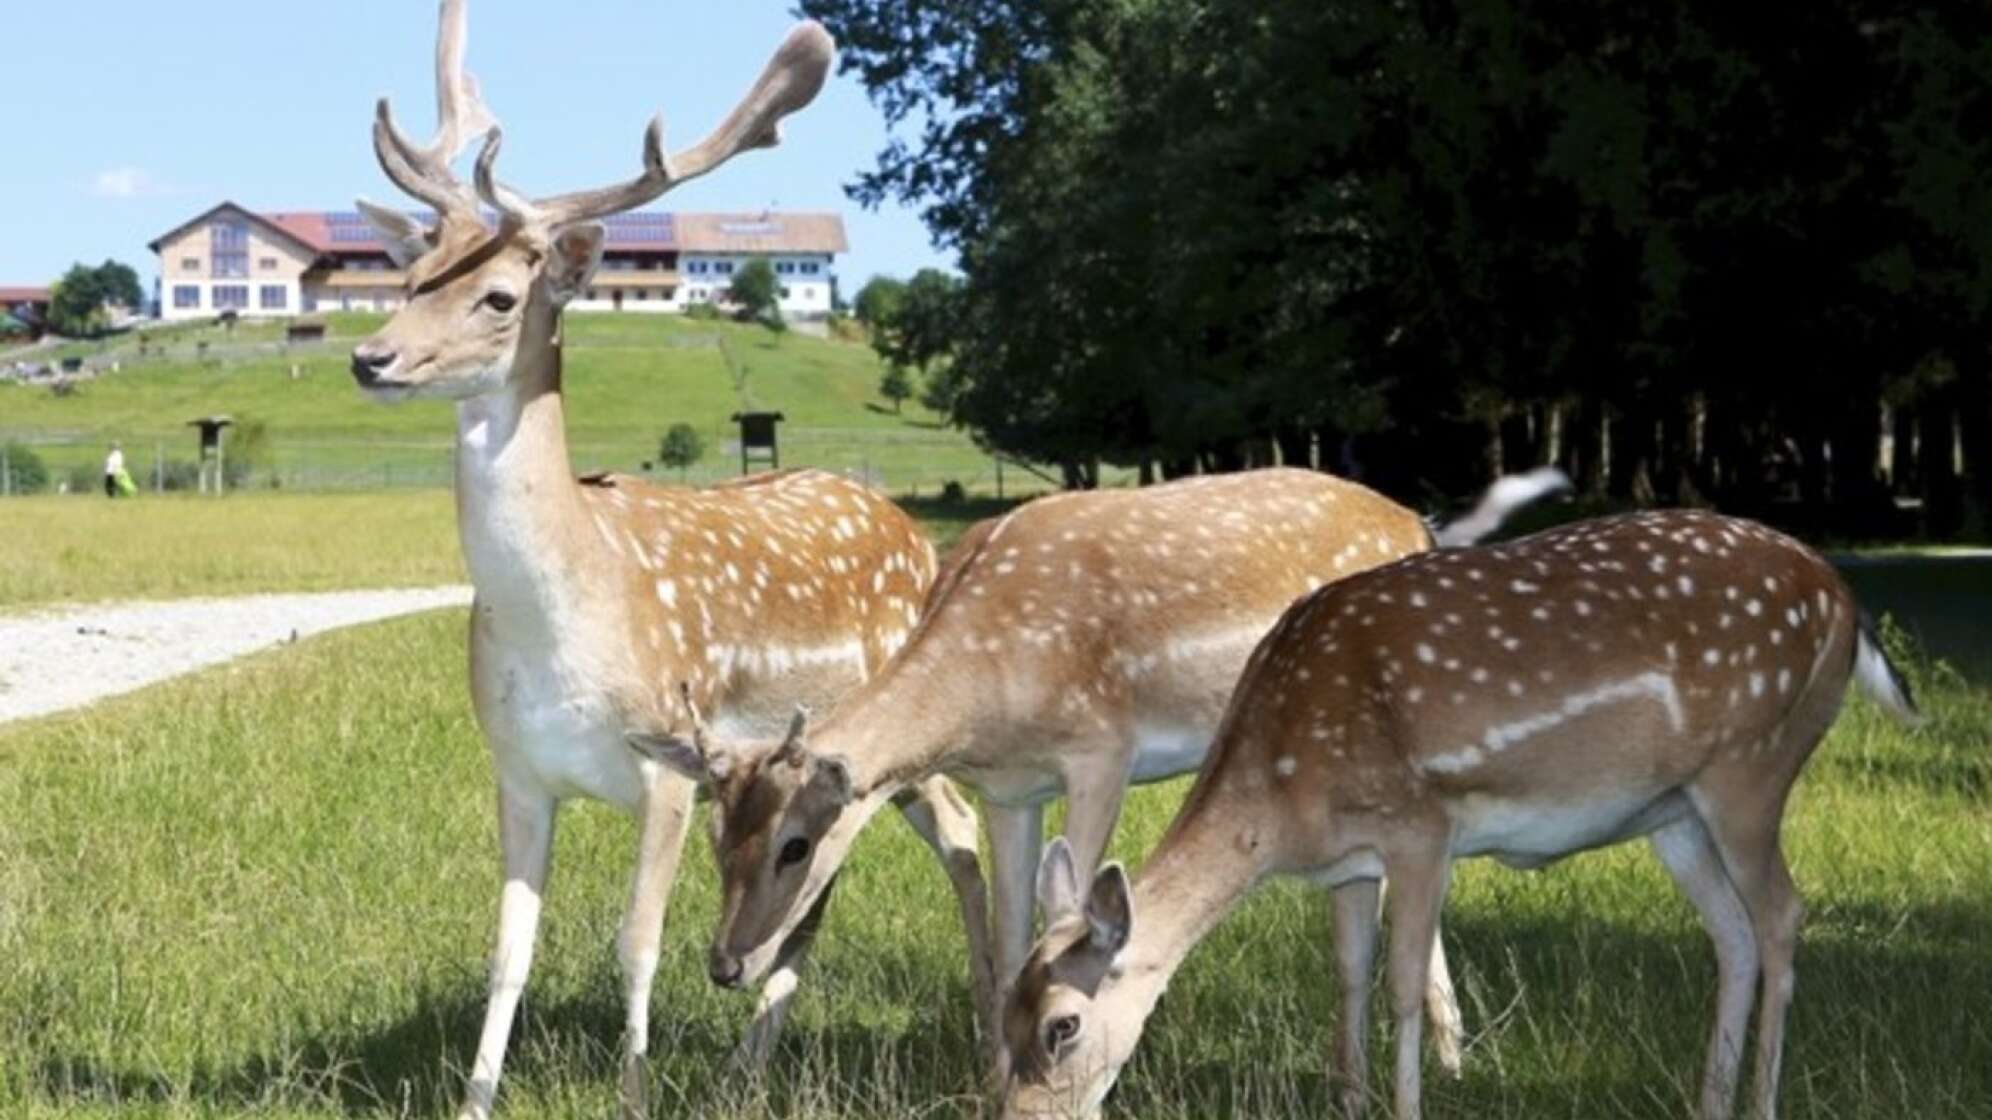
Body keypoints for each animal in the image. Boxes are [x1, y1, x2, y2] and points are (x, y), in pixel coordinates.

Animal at [346, 4, 992, 1108]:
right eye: (411, 275)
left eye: (500, 298)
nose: (370, 356)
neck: (565, 620)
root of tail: (909, 530)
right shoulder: (518, 766)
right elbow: (509, 950)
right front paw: (474, 1099)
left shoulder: (667, 770)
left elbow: (636, 944)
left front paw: (634, 1094)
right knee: (835, 867)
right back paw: (747, 1065)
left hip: (904, 718)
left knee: (960, 830)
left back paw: (995, 1029)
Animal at [629, 462, 1561, 1076]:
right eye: (715, 838)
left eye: (796, 844)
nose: (724, 965)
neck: (986, 681)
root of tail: (1419, 523)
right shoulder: (1008, 788)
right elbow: (1012, 936)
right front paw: (991, 1075)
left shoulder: (1102, 750)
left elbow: (1066, 915)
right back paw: (1452, 1057)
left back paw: (1450, 1058)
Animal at [1003, 508, 1920, 1116]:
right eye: (1004, 1017)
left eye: (1061, 1029)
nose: (1020, 1115)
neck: (1283, 794)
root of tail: (1844, 600)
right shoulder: (1347, 861)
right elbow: (1348, 973)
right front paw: (1348, 1099)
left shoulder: (1422, 825)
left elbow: (1404, 984)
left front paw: (1408, 1101)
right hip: (1674, 813)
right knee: (1732, 933)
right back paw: (1708, 1101)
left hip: (1751, 769)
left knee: (1782, 915)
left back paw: (1758, 1101)